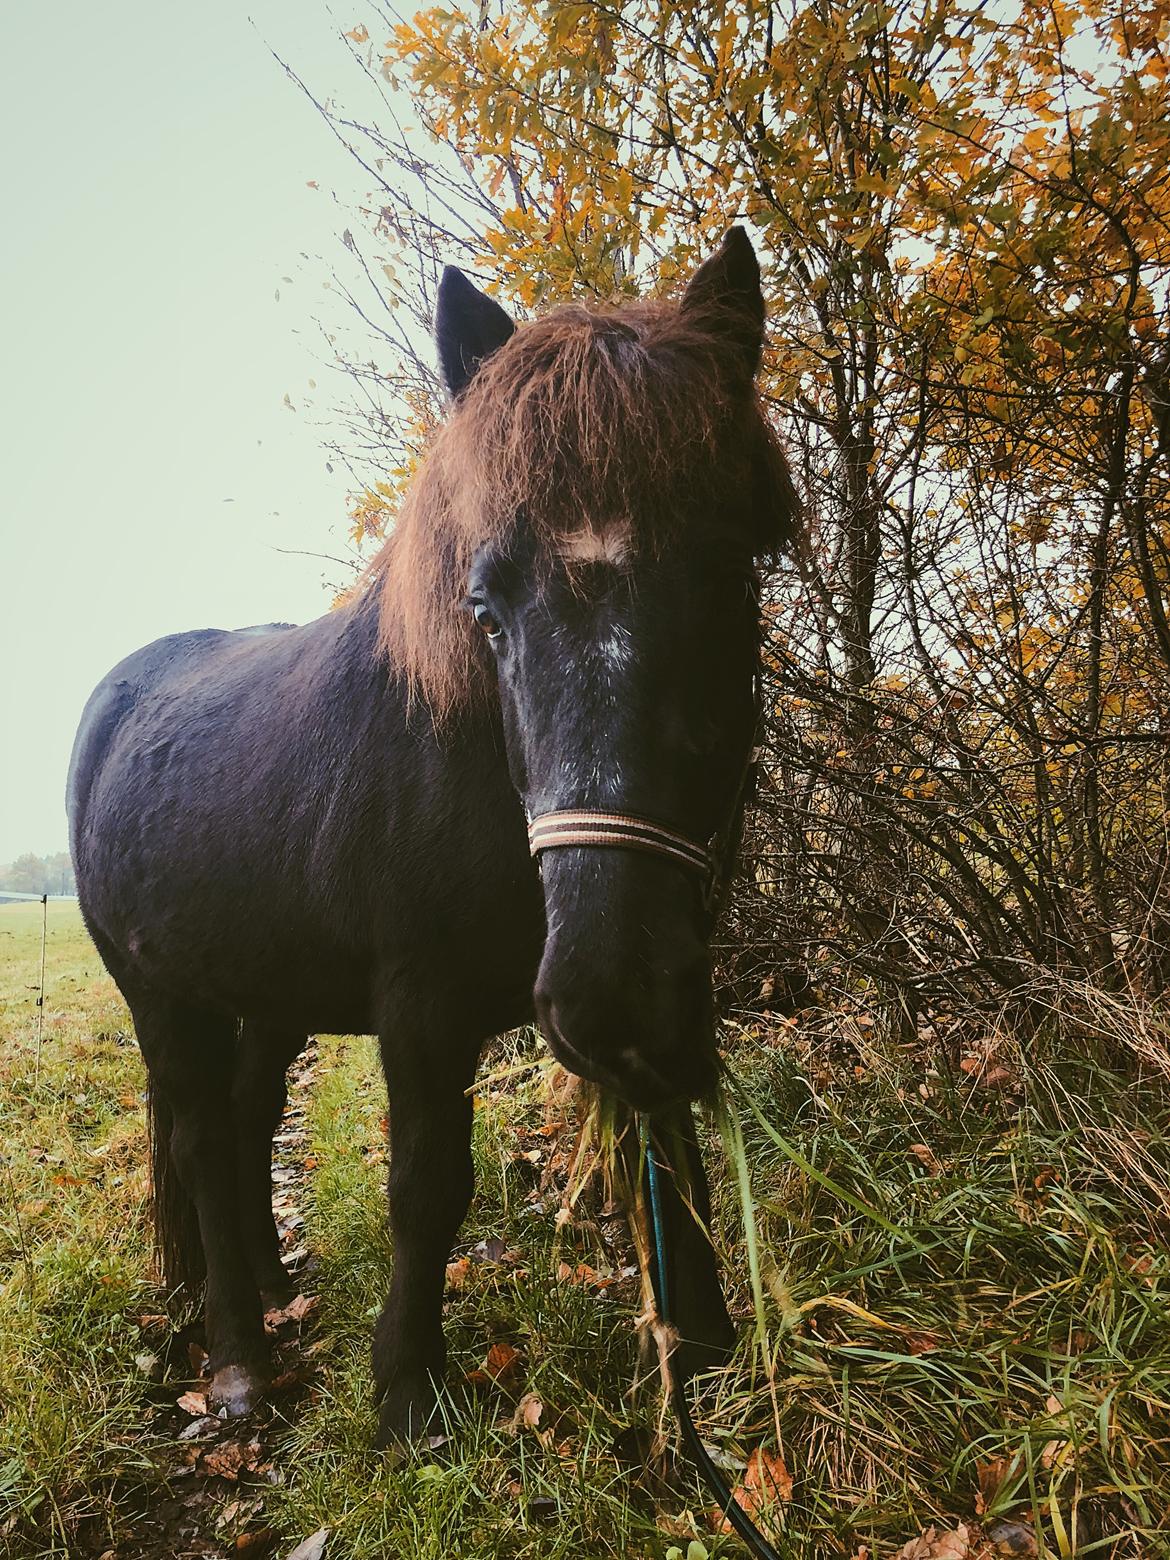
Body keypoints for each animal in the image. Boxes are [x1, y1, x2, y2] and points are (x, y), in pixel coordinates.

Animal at [68, 226, 804, 1441]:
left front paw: (699, 1355)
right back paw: (238, 1359)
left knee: (244, 1117)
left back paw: (268, 1285)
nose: (605, 990)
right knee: (201, 1139)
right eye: (486, 607)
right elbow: (428, 1185)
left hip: (269, 989)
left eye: (730, 571)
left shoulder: (663, 981)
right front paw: (408, 1386)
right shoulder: (421, 1006)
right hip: (160, 994)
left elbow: (673, 1153)